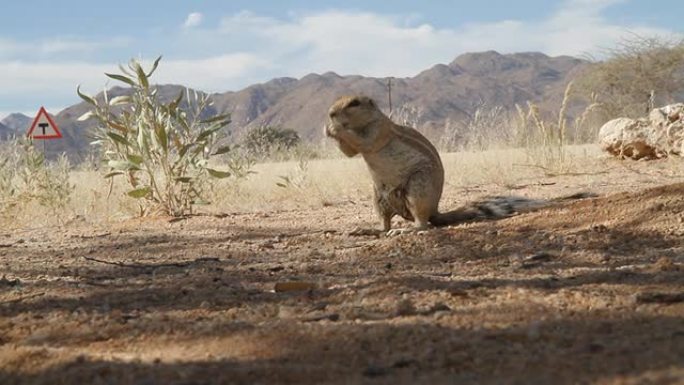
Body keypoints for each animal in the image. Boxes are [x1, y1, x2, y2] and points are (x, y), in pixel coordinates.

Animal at [326, 95, 592, 234]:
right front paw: (329, 130)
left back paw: (406, 229)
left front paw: (336, 129)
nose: (330, 113)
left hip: (417, 188)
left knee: (423, 224)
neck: (367, 120)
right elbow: (350, 152)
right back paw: (367, 230)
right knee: (384, 223)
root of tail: (435, 210)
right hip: (379, 197)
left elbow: (364, 141)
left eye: (354, 103)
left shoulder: (378, 132)